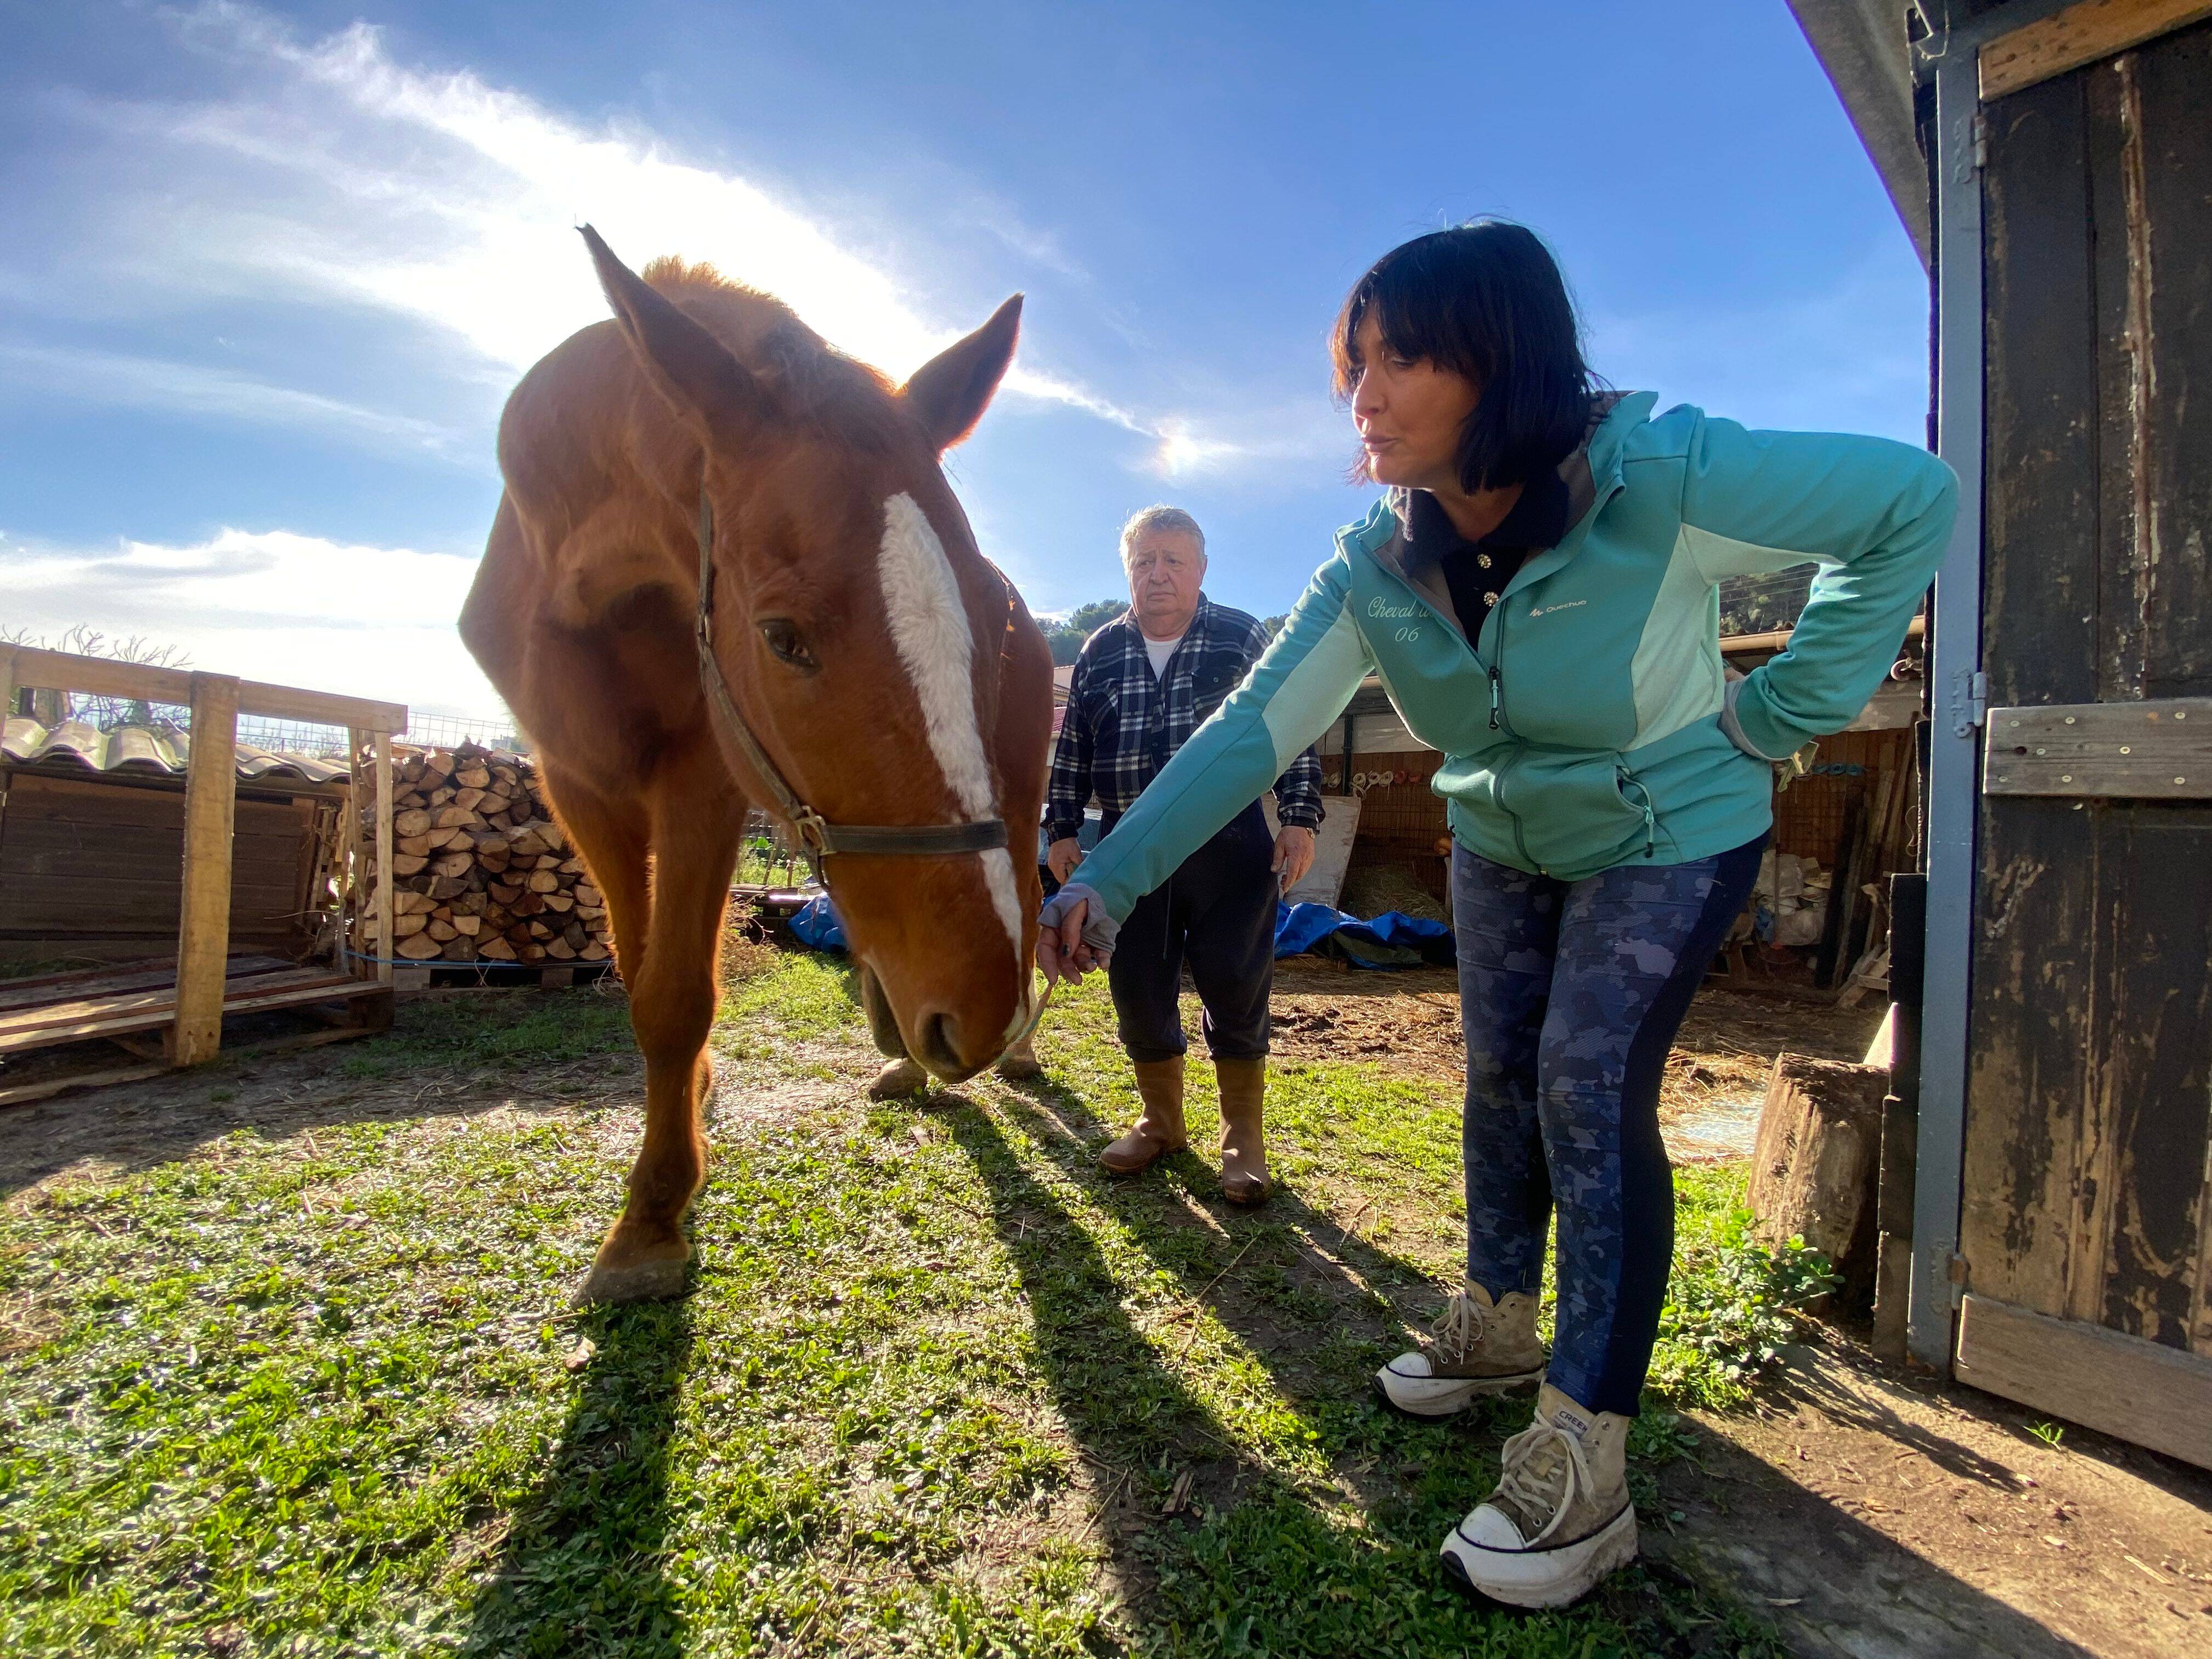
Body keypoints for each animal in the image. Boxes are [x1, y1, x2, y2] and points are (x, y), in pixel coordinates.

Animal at [459, 227, 1054, 1303]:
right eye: (783, 637)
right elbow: (638, 972)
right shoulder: (577, 782)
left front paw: (650, 1217)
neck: (583, 572)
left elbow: (676, 996)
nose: (981, 1011)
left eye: (988, 614)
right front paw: (677, 1132)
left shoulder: (700, 778)